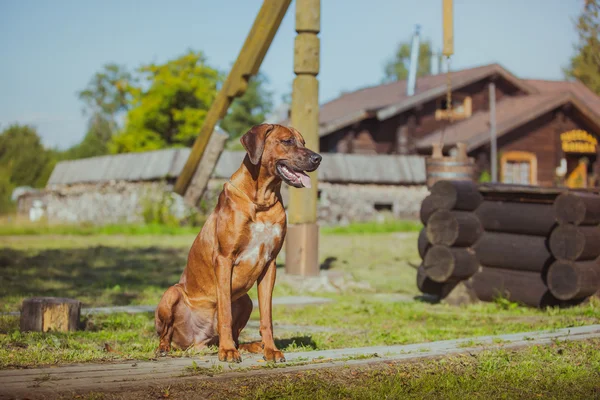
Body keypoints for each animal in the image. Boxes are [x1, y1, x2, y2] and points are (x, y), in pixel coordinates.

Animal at [157, 122, 322, 362]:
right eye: (287, 141)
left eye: (303, 142)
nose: (318, 158)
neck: (261, 201)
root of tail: (196, 343)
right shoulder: (224, 259)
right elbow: (224, 312)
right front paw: (226, 351)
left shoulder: (270, 264)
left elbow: (267, 317)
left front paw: (271, 349)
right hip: (171, 294)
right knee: (165, 332)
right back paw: (166, 348)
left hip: (246, 301)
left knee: (238, 334)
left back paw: (252, 346)